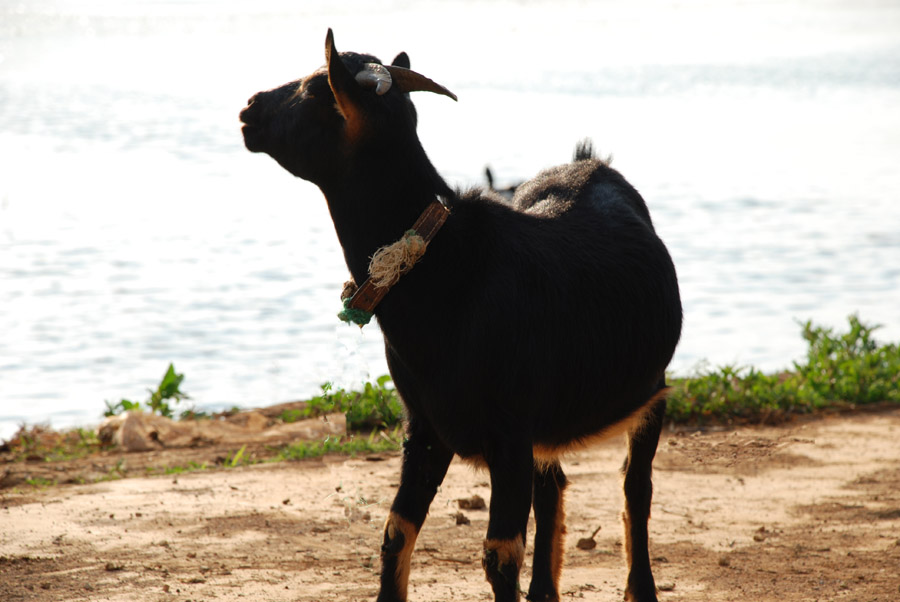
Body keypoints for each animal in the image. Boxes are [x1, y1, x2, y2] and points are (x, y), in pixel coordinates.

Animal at [239, 31, 684, 600]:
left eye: (317, 87)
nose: (250, 107)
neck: (447, 271)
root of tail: (589, 163)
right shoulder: (426, 425)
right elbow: (395, 531)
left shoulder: (509, 433)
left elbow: (499, 555)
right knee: (555, 485)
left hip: (652, 392)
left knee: (635, 486)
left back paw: (639, 585)